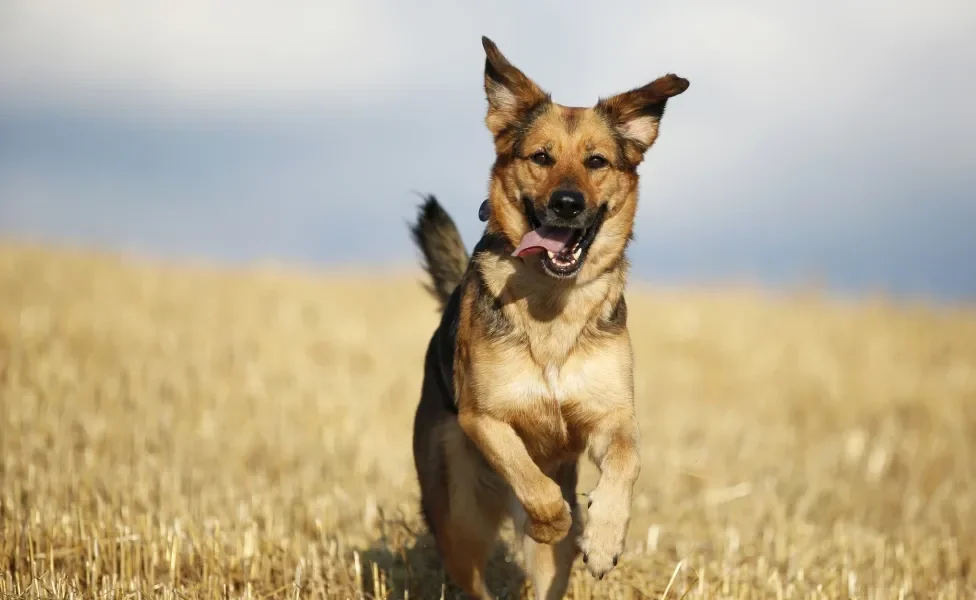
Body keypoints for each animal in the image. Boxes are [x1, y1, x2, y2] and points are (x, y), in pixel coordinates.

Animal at [408, 37, 692, 600]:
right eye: (541, 157)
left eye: (596, 161)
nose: (567, 203)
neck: (552, 303)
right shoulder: (485, 419)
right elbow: (530, 480)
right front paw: (553, 519)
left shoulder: (612, 419)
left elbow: (627, 462)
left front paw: (602, 538)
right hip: (460, 517)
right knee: (473, 569)